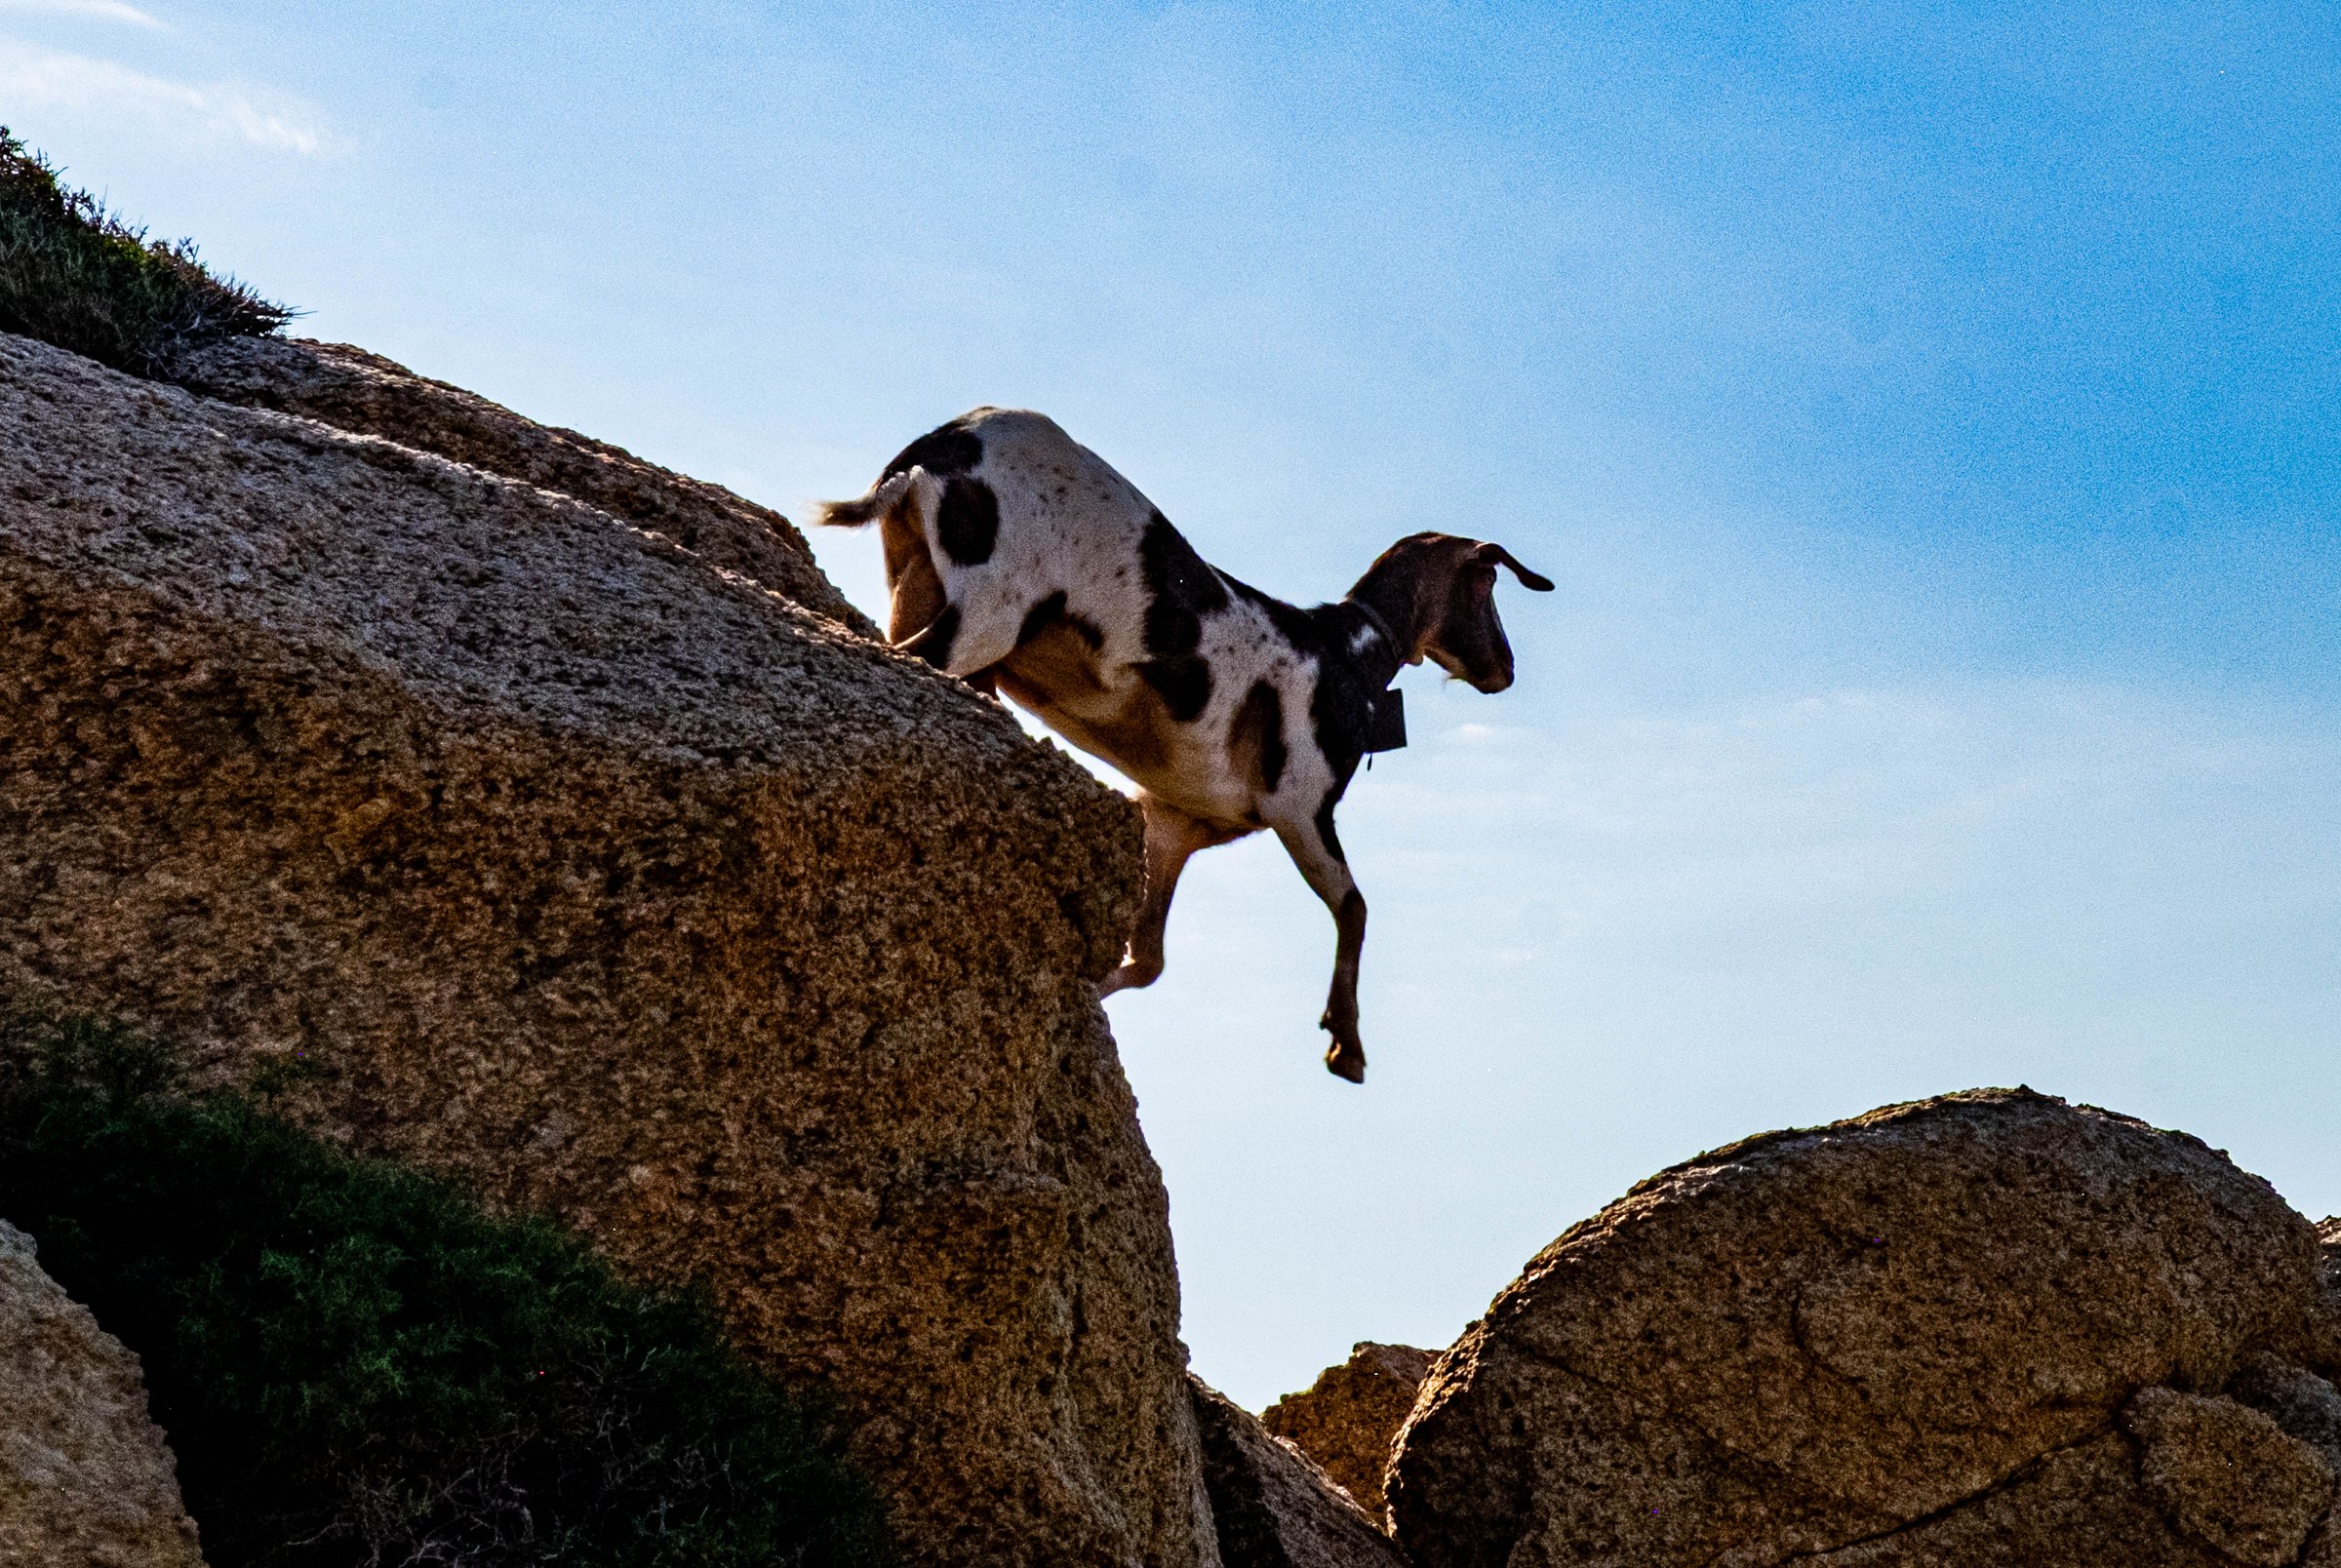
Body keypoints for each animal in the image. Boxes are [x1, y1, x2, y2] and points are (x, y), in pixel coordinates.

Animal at [816, 407, 1551, 1082]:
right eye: (1488, 582)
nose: (1505, 669)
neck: (1348, 656)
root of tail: (941, 446)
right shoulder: (1301, 807)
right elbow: (1355, 906)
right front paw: (1346, 1045)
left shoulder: (1175, 819)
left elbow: (1147, 960)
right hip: (989, 608)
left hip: (917, 582)